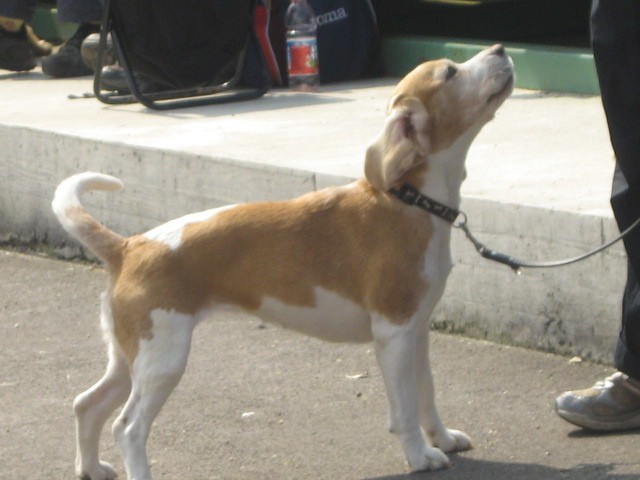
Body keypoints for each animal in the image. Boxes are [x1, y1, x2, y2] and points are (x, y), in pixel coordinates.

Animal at [53, 46, 516, 480]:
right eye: (451, 72)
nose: (499, 49)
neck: (410, 200)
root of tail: (129, 246)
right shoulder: (395, 335)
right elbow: (403, 409)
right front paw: (420, 456)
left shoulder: (416, 331)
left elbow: (426, 393)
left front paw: (443, 438)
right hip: (162, 361)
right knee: (128, 427)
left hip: (130, 359)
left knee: (86, 405)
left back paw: (90, 467)